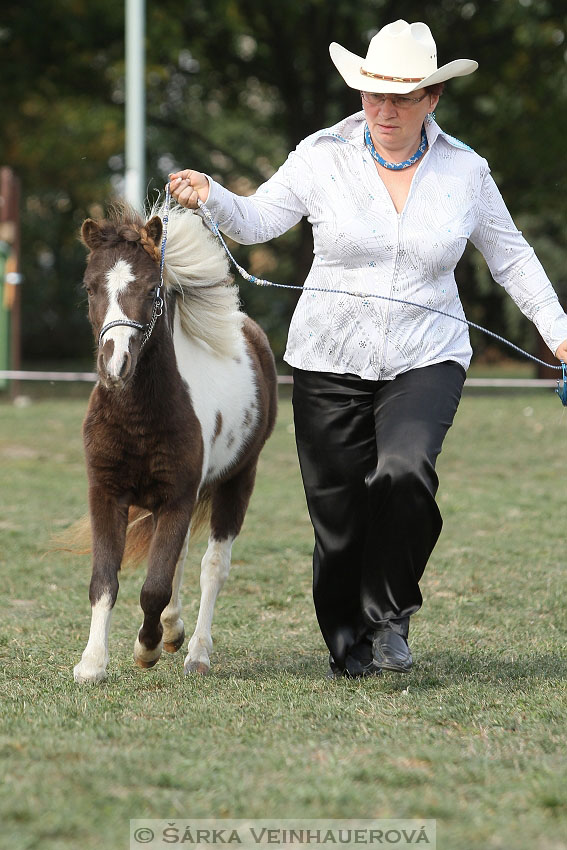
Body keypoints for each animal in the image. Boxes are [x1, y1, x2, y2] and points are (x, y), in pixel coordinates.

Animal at [74, 200, 278, 684]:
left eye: (152, 291)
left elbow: (154, 587)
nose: (116, 365)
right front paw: (92, 662)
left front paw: (145, 649)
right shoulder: (106, 493)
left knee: (211, 568)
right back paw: (172, 631)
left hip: (237, 481)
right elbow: (104, 579)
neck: (138, 419)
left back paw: (196, 653)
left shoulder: (178, 497)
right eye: (90, 288)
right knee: (181, 558)